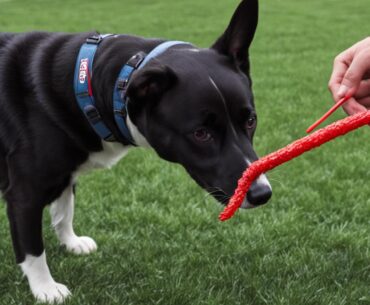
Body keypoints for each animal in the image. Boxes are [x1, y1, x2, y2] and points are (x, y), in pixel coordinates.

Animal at [0, 0, 272, 300]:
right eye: (201, 134)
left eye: (250, 120)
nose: (262, 194)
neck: (85, 82)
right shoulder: (24, 194)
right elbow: (32, 247)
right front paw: (45, 289)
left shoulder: (66, 172)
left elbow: (64, 208)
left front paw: (71, 242)